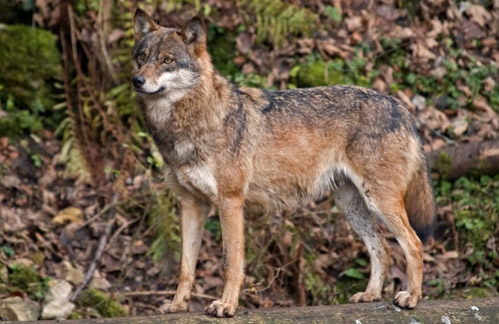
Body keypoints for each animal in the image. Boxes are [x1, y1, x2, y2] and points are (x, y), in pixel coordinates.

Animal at [132, 8, 438, 318]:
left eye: (167, 60)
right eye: (142, 56)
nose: (137, 81)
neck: (192, 121)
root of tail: (401, 108)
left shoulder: (230, 202)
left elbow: (231, 263)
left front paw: (226, 305)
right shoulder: (191, 204)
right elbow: (186, 267)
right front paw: (177, 305)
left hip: (379, 201)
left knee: (413, 244)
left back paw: (411, 297)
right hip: (351, 205)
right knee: (382, 249)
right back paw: (371, 295)